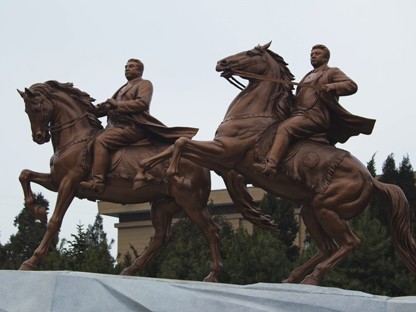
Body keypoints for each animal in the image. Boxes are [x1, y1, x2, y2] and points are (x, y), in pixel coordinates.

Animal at [18, 80, 228, 280]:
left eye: (36, 108)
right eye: (26, 110)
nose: (39, 137)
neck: (76, 138)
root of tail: (201, 161)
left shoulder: (69, 183)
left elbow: (55, 220)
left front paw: (31, 261)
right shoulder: (56, 181)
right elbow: (25, 174)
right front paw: (37, 210)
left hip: (191, 202)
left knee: (211, 230)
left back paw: (213, 274)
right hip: (162, 204)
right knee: (161, 236)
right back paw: (130, 269)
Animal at [141, 42, 416, 286]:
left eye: (250, 53)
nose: (222, 63)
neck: (253, 115)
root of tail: (371, 179)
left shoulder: (225, 152)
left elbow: (182, 143)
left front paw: (169, 171)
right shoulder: (225, 161)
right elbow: (179, 145)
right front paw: (146, 166)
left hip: (327, 208)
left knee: (350, 243)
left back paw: (312, 277)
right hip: (310, 210)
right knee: (328, 247)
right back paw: (294, 277)